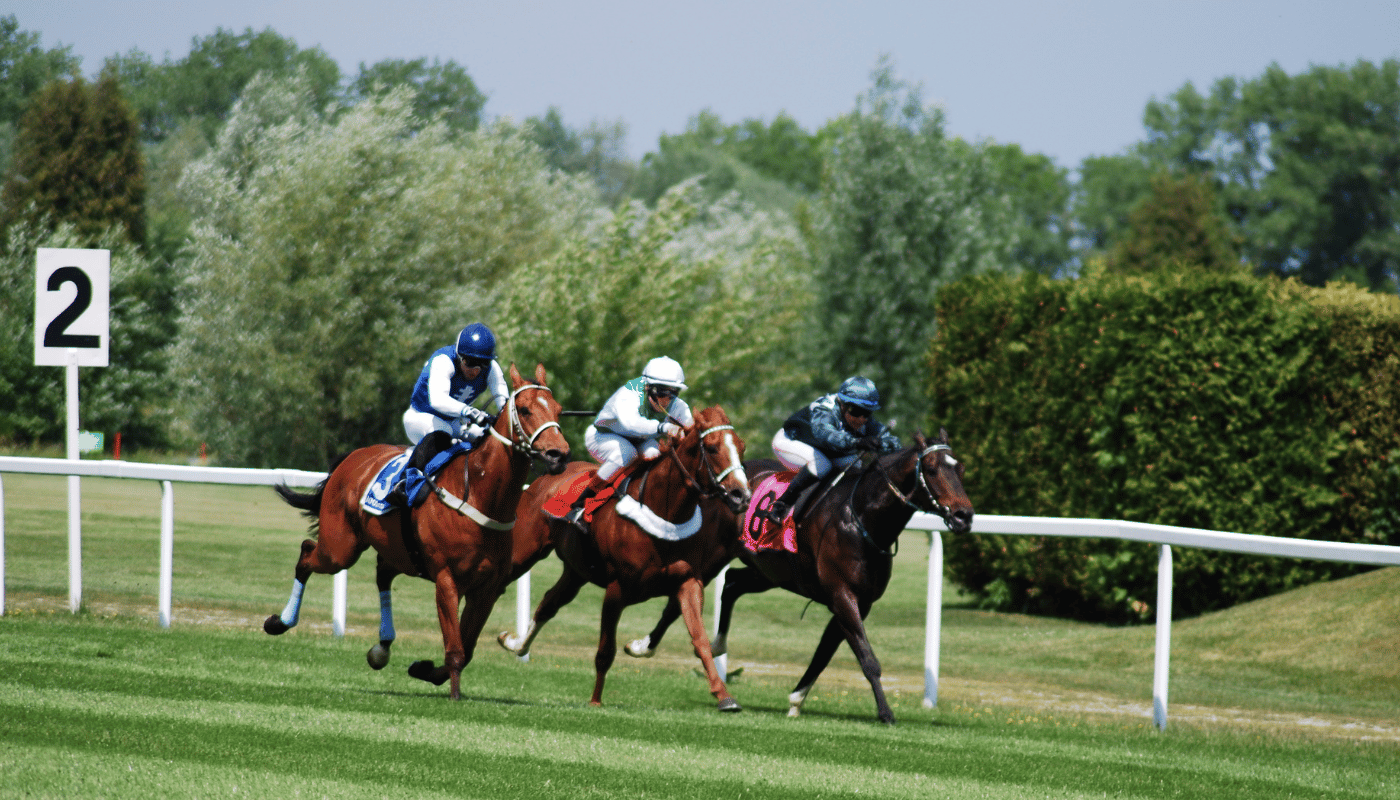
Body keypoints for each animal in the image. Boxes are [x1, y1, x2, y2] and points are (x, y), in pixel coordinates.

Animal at [263, 364, 568, 700]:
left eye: (558, 409)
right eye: (525, 410)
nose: (559, 454)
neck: (479, 493)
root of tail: (353, 458)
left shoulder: (488, 588)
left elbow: (466, 646)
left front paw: (426, 670)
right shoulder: (447, 579)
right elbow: (456, 649)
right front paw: (454, 695)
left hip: (396, 550)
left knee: (382, 573)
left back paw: (381, 647)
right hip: (339, 548)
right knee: (307, 552)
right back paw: (280, 621)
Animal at [495, 406, 750, 714]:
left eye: (741, 447)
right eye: (712, 448)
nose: (741, 495)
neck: (663, 513)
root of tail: (544, 478)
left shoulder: (688, 581)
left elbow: (699, 639)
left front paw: (724, 696)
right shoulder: (617, 589)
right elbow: (606, 650)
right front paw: (595, 700)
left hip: (576, 571)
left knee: (548, 604)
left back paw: (515, 644)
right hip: (523, 552)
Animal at [627, 431, 974, 728]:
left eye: (960, 468)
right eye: (932, 469)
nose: (964, 516)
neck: (862, 518)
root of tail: (721, 483)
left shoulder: (856, 602)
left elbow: (824, 653)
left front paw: (796, 700)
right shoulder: (842, 595)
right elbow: (867, 658)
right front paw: (886, 713)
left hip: (769, 571)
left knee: (733, 584)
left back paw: (716, 643)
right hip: (713, 556)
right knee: (680, 600)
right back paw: (643, 646)